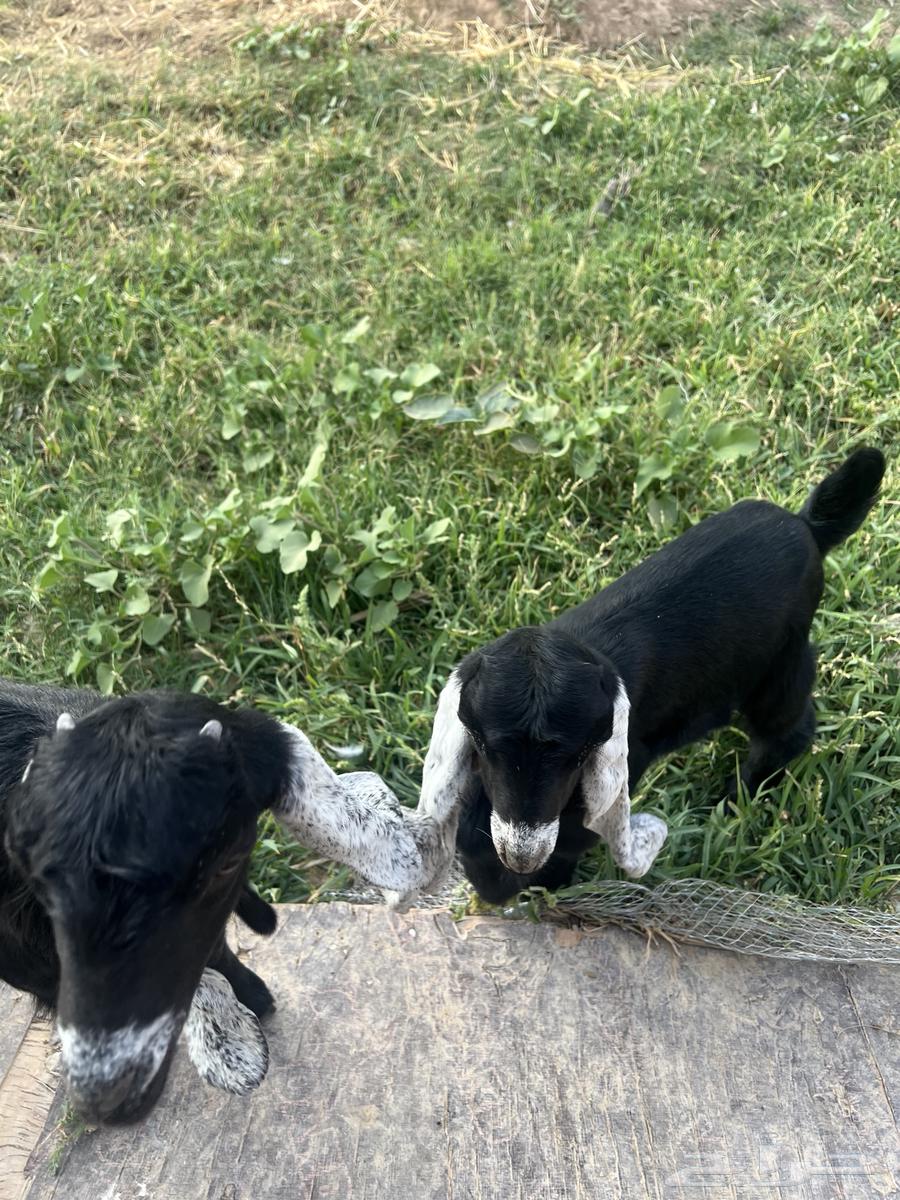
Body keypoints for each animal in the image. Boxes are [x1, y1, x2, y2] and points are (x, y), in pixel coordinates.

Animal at [390, 448, 886, 907]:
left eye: (580, 756)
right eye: (483, 745)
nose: (522, 857)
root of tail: (807, 524)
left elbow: (566, 847)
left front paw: (536, 888)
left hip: (778, 661)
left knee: (787, 727)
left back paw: (738, 794)